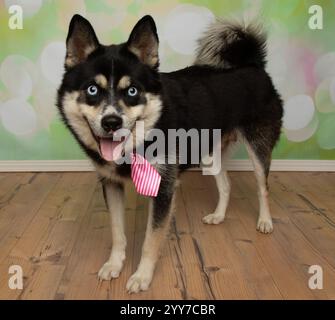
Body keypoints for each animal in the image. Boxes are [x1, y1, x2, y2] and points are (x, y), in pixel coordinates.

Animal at [57, 15, 284, 296]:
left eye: (132, 91)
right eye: (91, 90)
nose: (111, 122)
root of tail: (253, 64)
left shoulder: (164, 187)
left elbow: (151, 239)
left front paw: (142, 276)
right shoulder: (111, 184)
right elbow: (117, 232)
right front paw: (114, 264)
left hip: (258, 146)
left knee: (263, 186)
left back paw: (265, 221)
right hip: (208, 153)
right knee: (226, 184)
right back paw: (219, 215)